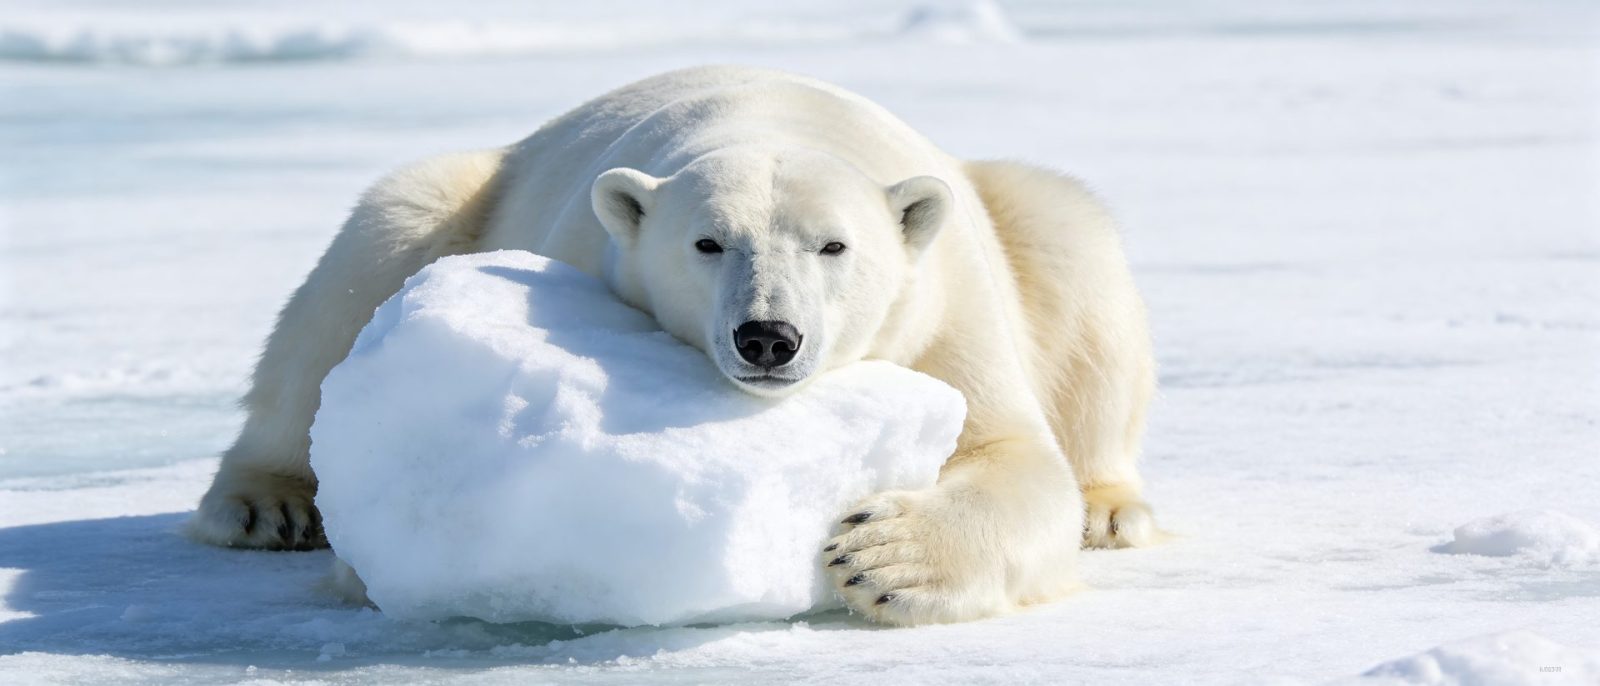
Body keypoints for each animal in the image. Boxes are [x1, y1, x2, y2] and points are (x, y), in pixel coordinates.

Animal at [187, 65, 1158, 626]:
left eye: (833, 246)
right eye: (708, 242)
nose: (768, 336)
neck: (775, 121)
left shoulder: (939, 310)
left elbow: (1014, 454)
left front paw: (879, 556)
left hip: (1021, 224)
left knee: (1074, 248)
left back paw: (1113, 510)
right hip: (455, 201)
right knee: (350, 283)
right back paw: (265, 505)